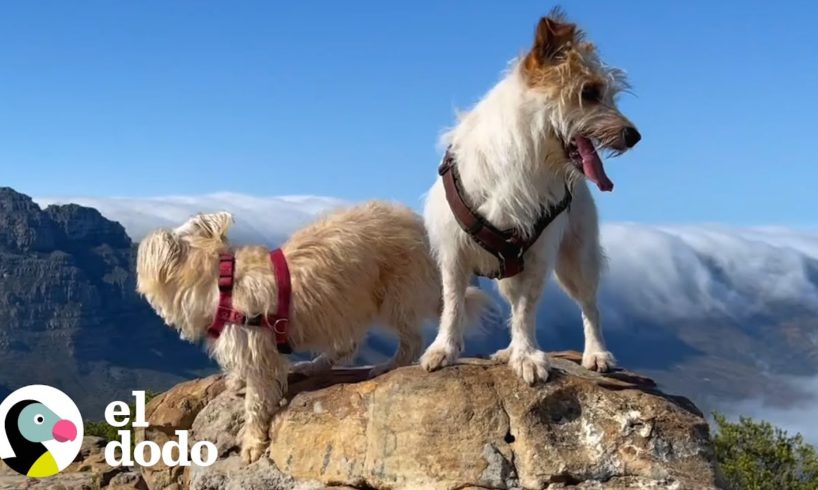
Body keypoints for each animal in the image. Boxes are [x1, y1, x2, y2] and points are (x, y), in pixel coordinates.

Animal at [137, 201, 488, 466]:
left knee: (410, 340)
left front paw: (251, 442)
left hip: (393, 294)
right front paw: (236, 381)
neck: (222, 284)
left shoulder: (259, 352)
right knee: (348, 345)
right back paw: (313, 365)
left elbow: (255, 403)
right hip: (348, 305)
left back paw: (385, 366)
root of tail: (417, 223)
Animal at [420, 8, 636, 382]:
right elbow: (453, 304)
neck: (528, 157)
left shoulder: (539, 256)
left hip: (578, 259)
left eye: (609, 95)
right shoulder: (453, 254)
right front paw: (444, 349)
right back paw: (508, 350)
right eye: (589, 93)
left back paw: (596, 353)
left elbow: (527, 311)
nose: (634, 136)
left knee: (589, 306)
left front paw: (527, 356)